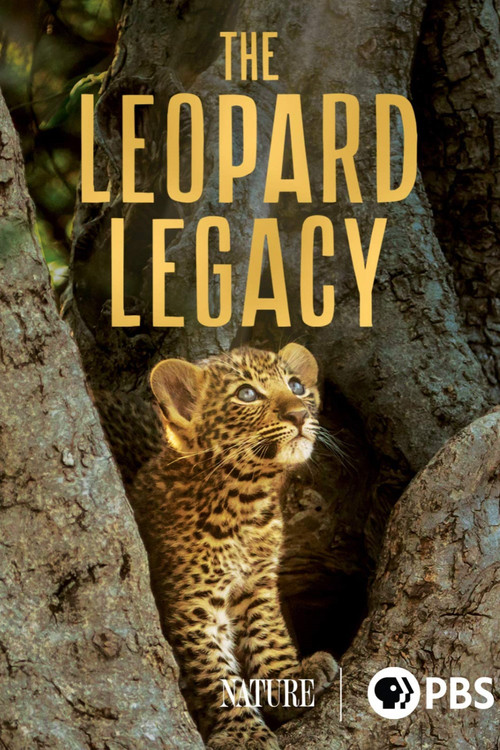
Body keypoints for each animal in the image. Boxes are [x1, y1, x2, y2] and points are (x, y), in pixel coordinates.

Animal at [130, 343, 338, 749]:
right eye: (246, 394)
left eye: (296, 385)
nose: (300, 413)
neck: (245, 503)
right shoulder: (192, 604)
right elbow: (214, 672)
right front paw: (244, 732)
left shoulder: (257, 584)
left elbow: (269, 633)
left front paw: (288, 683)